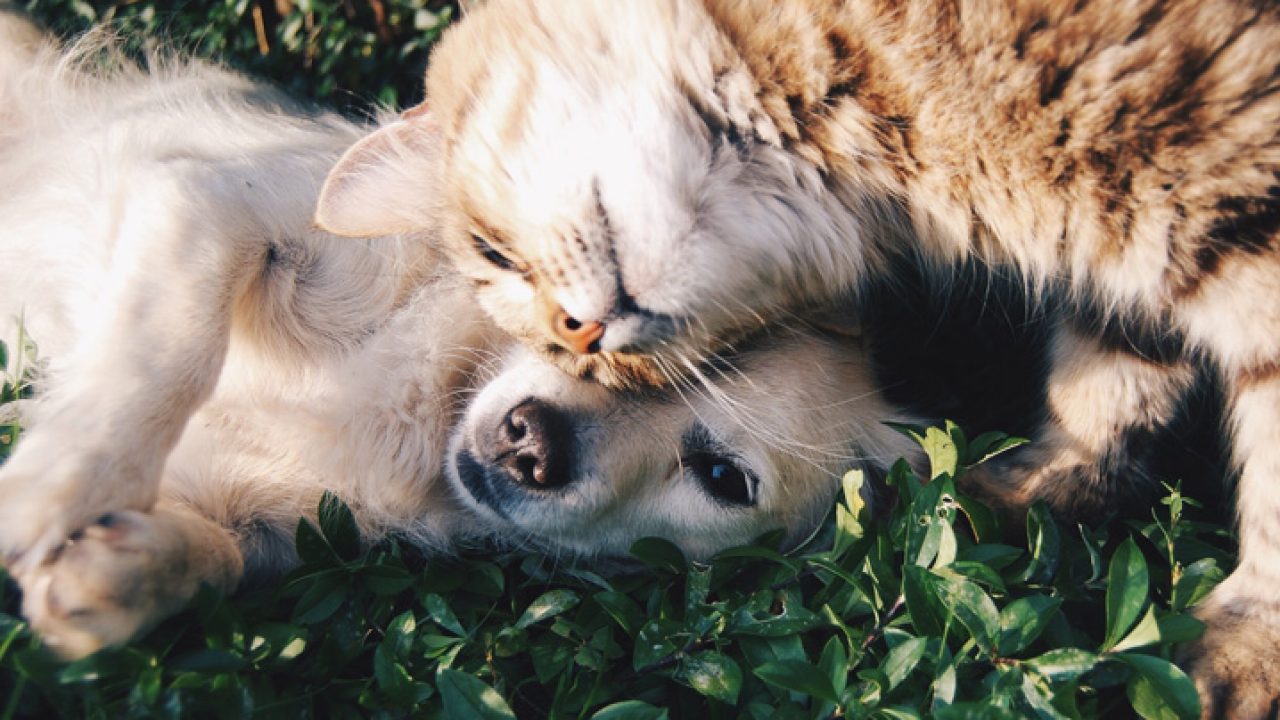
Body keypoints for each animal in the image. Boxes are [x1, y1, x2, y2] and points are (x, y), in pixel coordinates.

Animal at [312, 1, 1280, 712]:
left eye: (494, 255)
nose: (581, 341)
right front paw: (1028, 492)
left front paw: (1247, 653)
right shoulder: (1128, 266)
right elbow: (1110, 379)